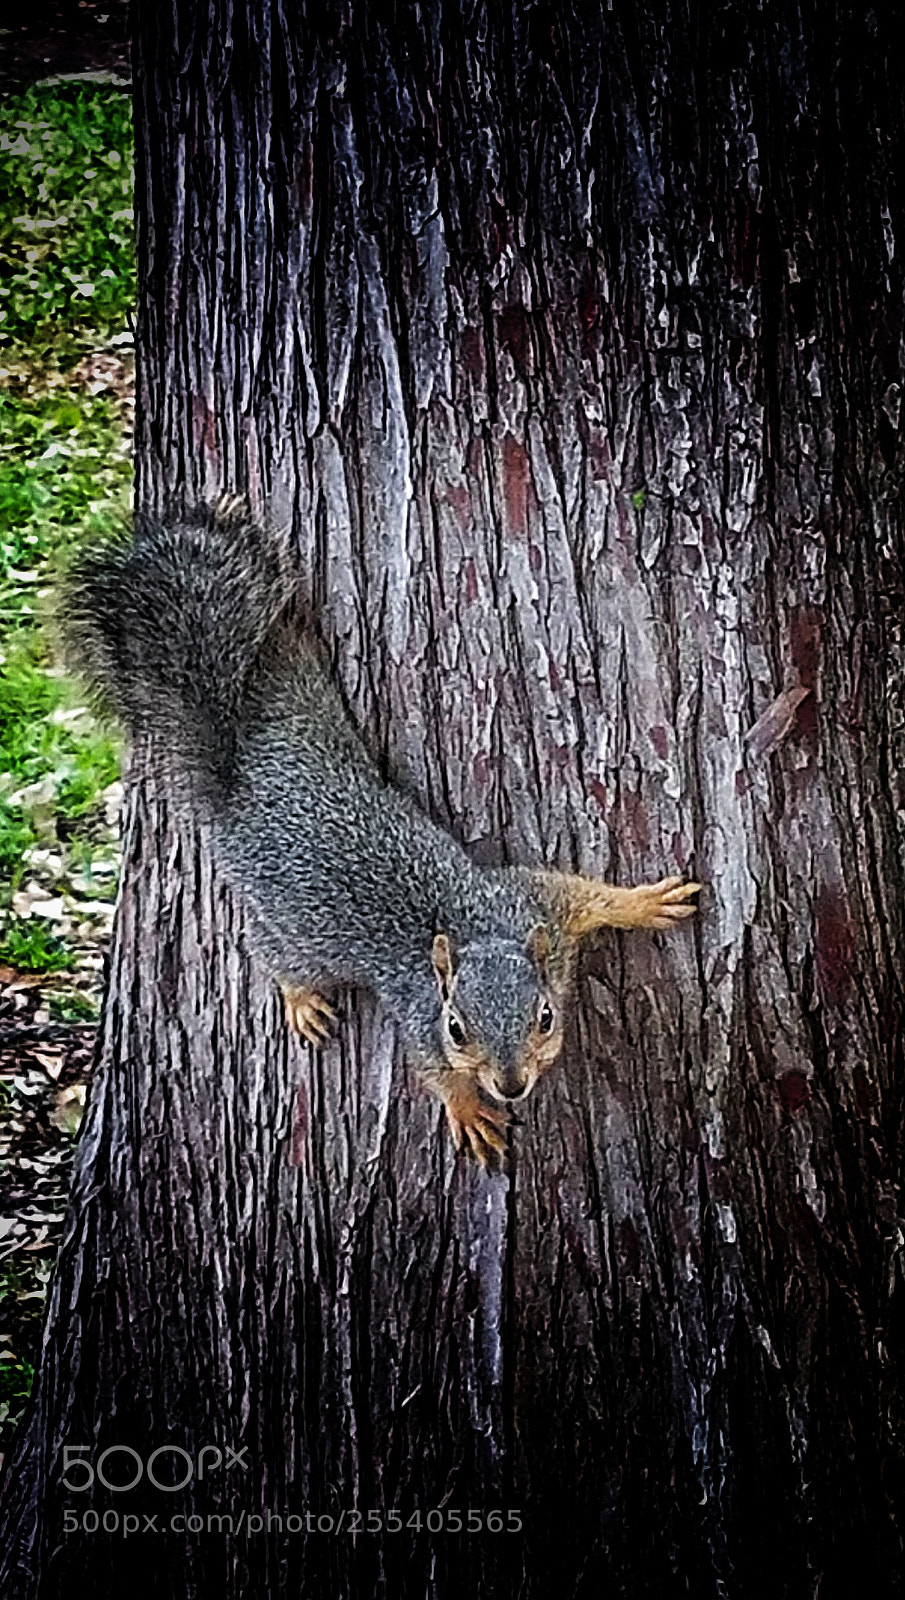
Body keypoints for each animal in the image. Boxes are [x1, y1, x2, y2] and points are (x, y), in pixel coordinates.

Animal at [63, 505, 700, 1166]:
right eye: (456, 1029)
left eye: (545, 1017)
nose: (510, 1085)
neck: (478, 933)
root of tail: (239, 794)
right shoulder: (419, 1015)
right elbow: (433, 1071)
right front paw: (468, 1108)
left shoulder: (534, 903)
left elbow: (585, 895)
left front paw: (646, 902)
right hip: (290, 926)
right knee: (267, 948)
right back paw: (300, 999)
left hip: (304, 709)